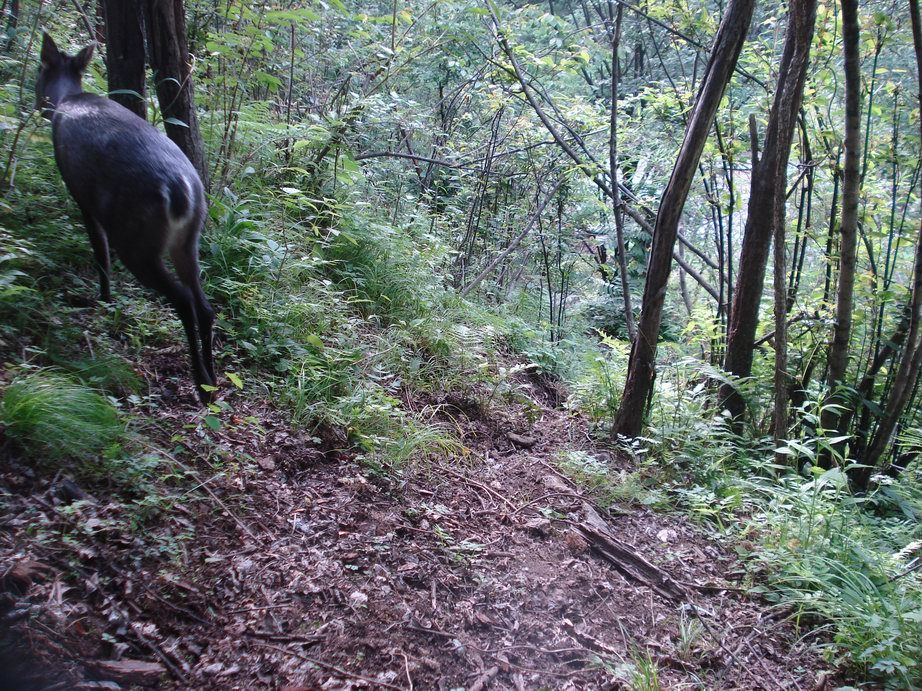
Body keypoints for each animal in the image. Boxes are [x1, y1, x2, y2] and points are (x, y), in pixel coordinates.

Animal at [36, 33, 217, 406]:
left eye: (38, 70)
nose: (35, 103)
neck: (66, 99)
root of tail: (181, 189)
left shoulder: (81, 194)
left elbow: (100, 251)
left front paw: (104, 299)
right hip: (188, 238)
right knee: (205, 305)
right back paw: (212, 382)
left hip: (136, 238)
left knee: (184, 300)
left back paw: (199, 381)